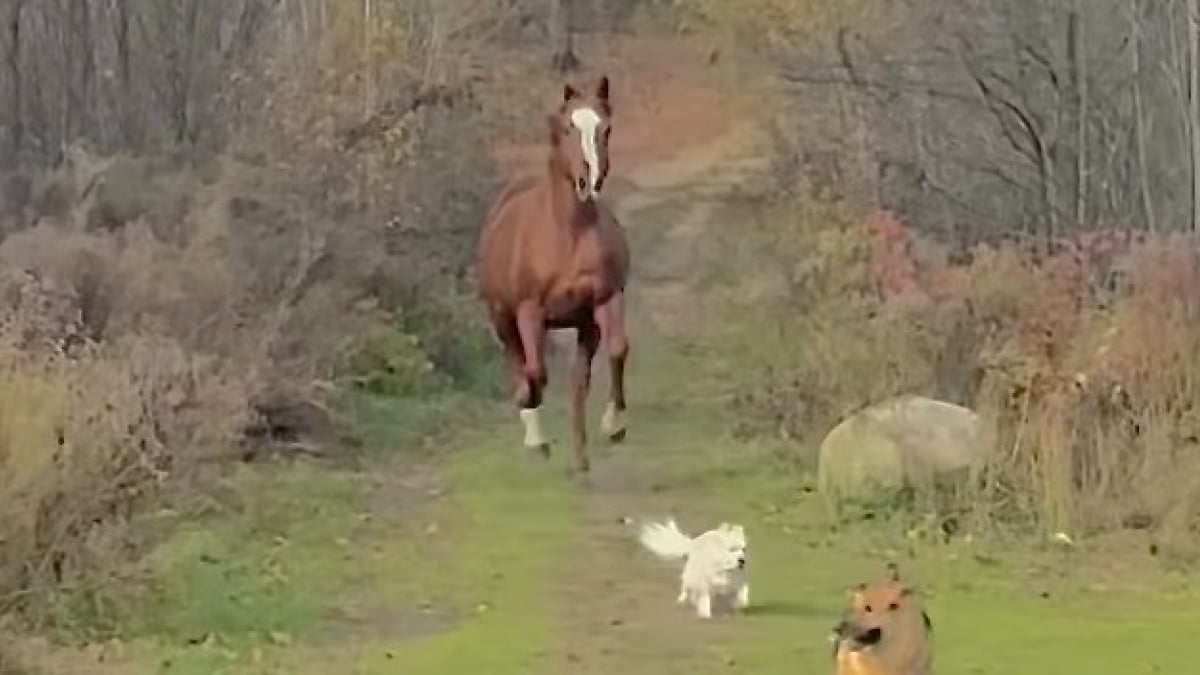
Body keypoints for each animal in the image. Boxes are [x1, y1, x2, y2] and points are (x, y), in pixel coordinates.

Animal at [475, 74, 633, 473]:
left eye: (606, 128)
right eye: (568, 128)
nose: (589, 182)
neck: (569, 235)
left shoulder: (607, 300)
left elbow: (618, 351)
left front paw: (613, 426)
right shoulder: (530, 312)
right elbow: (535, 374)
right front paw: (534, 428)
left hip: (585, 325)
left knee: (580, 381)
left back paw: (580, 455)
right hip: (503, 317)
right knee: (519, 362)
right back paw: (537, 436)